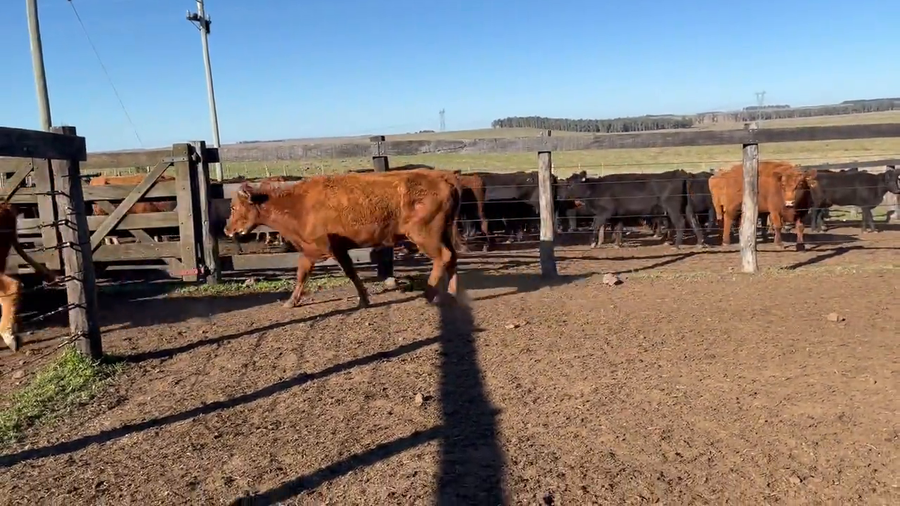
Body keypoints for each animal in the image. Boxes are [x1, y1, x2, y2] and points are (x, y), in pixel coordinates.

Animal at [223, 169, 463, 308]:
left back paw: (430, 294)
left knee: (443, 257)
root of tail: (443, 178)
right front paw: (363, 299)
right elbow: (345, 273)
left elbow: (306, 272)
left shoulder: (319, 249)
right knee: (452, 257)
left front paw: (291, 301)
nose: (227, 229)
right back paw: (451, 293)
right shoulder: (331, 249)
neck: (299, 205)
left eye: (234, 207)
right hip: (442, 233)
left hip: (425, 235)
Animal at [557, 170, 706, 249]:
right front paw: (617, 244)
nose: (559, 196)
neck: (595, 188)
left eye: (569, 184)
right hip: (687, 207)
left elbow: (595, 226)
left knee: (680, 223)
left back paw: (676, 245)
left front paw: (593, 243)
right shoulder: (617, 215)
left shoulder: (604, 213)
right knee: (693, 221)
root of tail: (679, 173)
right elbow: (617, 229)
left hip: (672, 208)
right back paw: (700, 243)